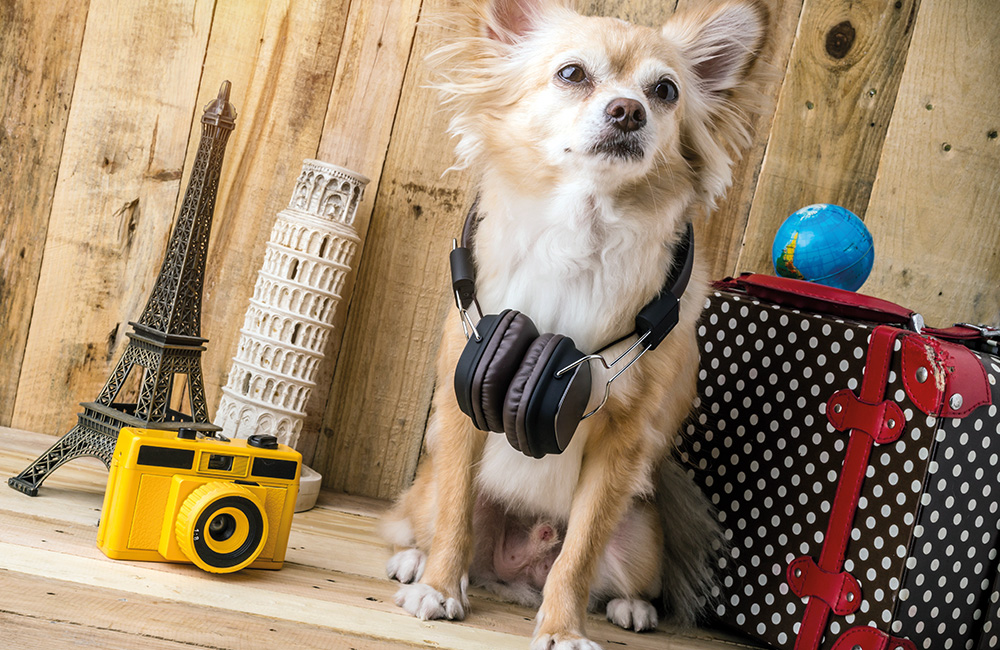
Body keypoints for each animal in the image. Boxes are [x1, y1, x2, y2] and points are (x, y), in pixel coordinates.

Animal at [380, 2, 764, 644]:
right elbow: (455, 516)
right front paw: (438, 588)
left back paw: (630, 607)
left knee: (605, 568)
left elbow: (579, 552)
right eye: (572, 74)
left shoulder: (620, 444)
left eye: (665, 91)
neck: (584, 228)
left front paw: (562, 628)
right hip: (431, 488)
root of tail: (514, 575)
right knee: (425, 521)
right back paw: (418, 564)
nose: (628, 110)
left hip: (640, 533)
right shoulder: (462, 406)